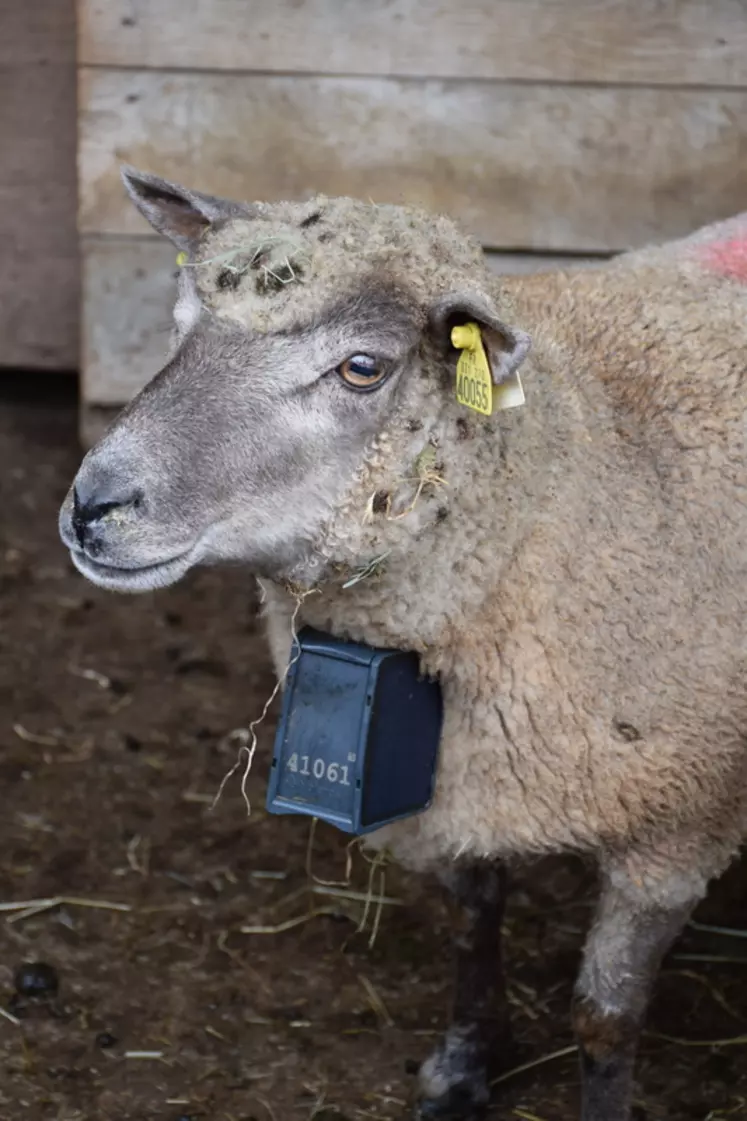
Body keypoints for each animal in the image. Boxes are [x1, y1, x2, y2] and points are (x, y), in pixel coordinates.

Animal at [58, 165, 744, 1121]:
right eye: (182, 323)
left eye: (362, 368)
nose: (94, 506)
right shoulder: (449, 786)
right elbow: (470, 930)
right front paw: (463, 1064)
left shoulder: (676, 830)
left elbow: (603, 1019)